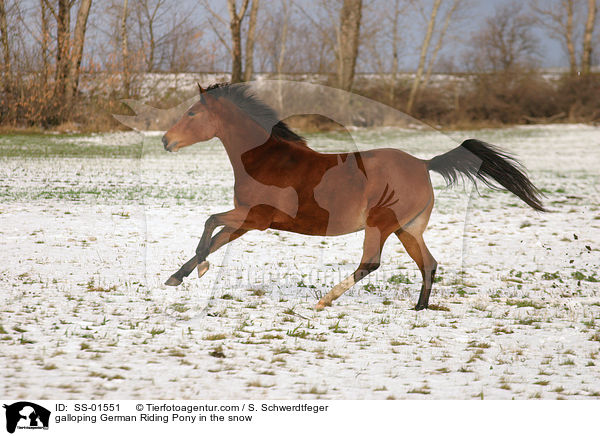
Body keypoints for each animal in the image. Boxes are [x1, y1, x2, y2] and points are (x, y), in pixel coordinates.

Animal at [162, 83, 548, 310]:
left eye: (192, 113)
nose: (166, 140)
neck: (267, 159)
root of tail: (424, 164)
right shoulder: (248, 218)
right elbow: (217, 238)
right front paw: (180, 275)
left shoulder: (257, 217)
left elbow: (210, 224)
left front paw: (194, 269)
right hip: (408, 228)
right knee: (428, 263)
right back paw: (419, 309)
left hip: (381, 223)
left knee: (371, 263)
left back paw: (324, 300)